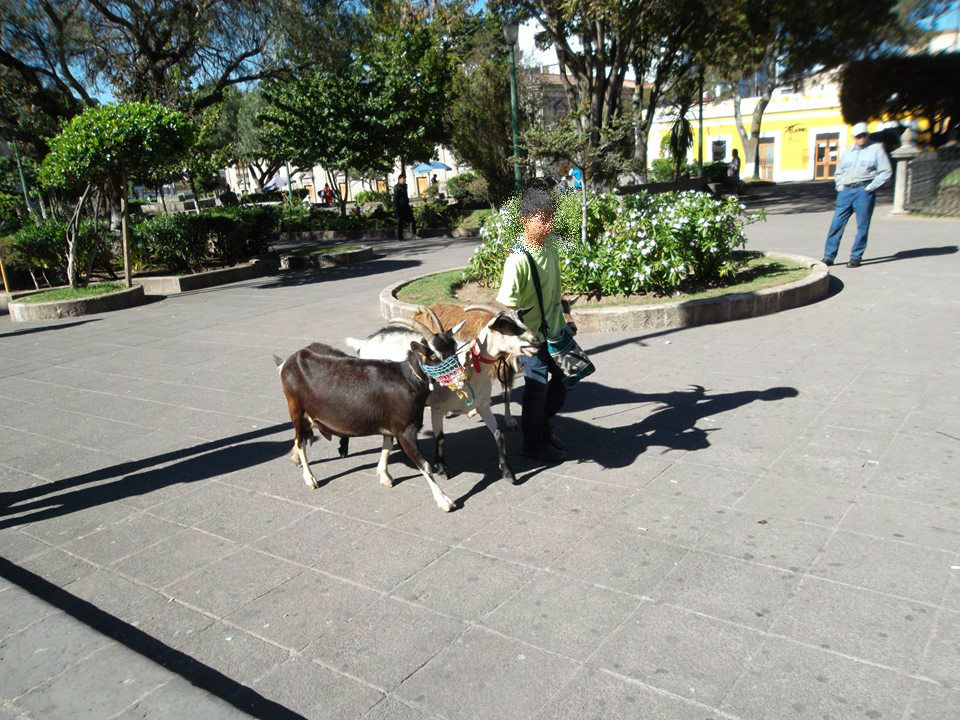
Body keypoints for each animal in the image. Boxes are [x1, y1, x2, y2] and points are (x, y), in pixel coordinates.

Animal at [276, 316, 464, 512]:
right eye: (433, 355)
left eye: (453, 348)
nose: (461, 378)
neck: (408, 379)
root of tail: (289, 362)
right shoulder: (405, 430)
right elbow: (425, 465)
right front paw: (444, 500)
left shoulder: (390, 425)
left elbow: (387, 447)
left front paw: (384, 476)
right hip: (295, 407)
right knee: (300, 441)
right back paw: (310, 478)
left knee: (301, 437)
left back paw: (296, 459)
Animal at [344, 304, 540, 484]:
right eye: (505, 326)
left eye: (521, 320)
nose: (536, 342)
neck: (471, 369)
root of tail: (366, 342)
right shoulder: (437, 408)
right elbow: (440, 438)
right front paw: (442, 469)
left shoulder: (483, 406)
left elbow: (499, 435)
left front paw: (508, 473)